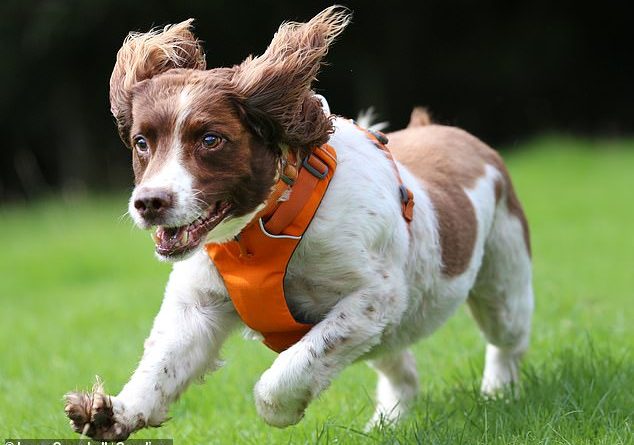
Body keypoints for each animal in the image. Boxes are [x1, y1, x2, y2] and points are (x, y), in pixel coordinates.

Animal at [64, 6, 532, 438]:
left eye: (211, 139)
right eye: (142, 142)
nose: (149, 202)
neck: (261, 230)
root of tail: (444, 131)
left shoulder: (375, 297)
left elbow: (294, 365)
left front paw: (281, 410)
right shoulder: (199, 301)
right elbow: (163, 361)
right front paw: (113, 413)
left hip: (502, 278)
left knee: (507, 340)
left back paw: (498, 392)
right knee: (402, 370)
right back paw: (387, 421)